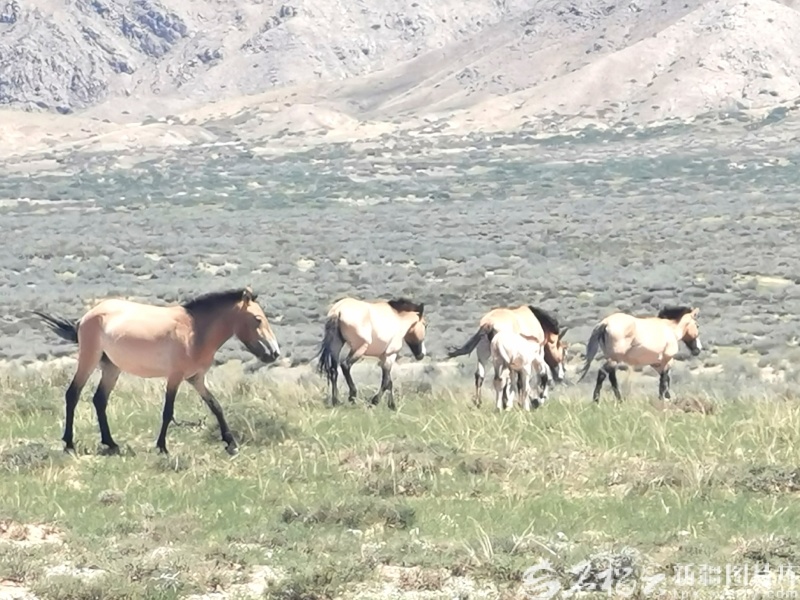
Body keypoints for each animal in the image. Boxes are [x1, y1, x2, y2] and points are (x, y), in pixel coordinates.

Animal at [33, 287, 280, 456]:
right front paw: (162, 447)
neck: (194, 331)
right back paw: (69, 443)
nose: (274, 353)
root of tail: (86, 316)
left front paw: (231, 444)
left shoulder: (196, 379)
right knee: (73, 394)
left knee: (99, 400)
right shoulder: (175, 377)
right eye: (258, 319)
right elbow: (168, 411)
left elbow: (216, 407)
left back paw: (111, 443)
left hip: (112, 368)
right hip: (89, 360)